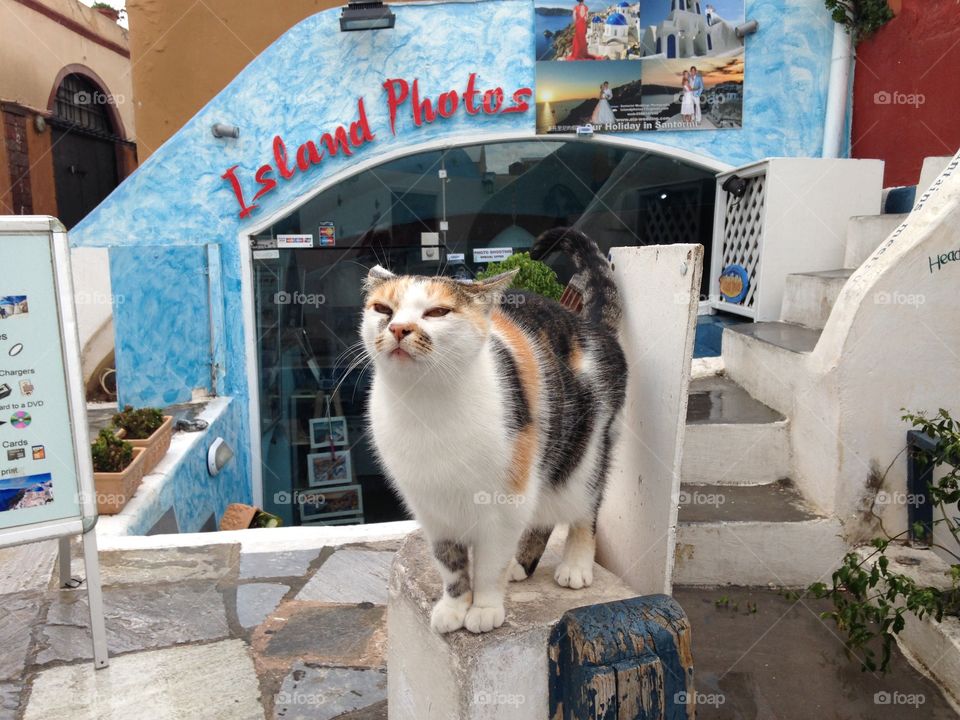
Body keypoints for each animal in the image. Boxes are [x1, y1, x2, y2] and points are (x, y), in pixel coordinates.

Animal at [364, 228, 628, 632]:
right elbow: (450, 564)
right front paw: (454, 608)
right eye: (382, 310)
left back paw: (575, 566)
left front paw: (485, 608)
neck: (426, 405)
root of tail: (592, 326)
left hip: (583, 456)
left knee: (586, 509)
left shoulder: (505, 504)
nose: (398, 328)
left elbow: (489, 565)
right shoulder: (432, 510)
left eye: (437, 312)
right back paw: (521, 564)